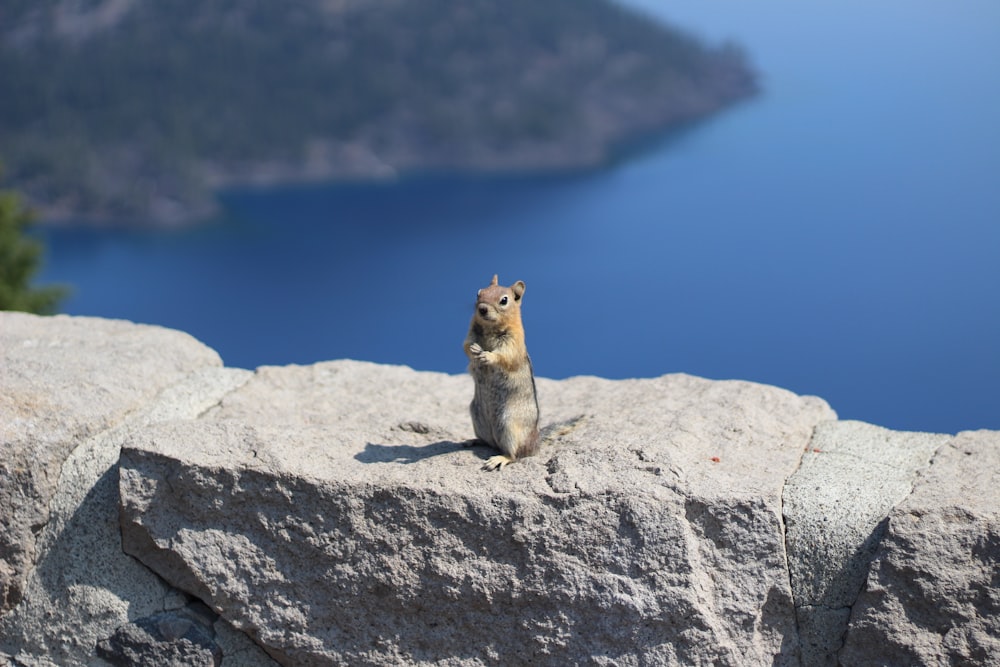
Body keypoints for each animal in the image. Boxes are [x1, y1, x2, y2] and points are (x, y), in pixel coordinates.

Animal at [462, 274, 540, 472]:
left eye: (504, 300)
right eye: (479, 292)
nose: (482, 309)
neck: (490, 327)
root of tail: (535, 445)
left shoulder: (513, 340)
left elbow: (505, 355)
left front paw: (488, 356)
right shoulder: (470, 332)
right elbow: (466, 344)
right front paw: (474, 350)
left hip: (508, 426)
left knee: (514, 455)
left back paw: (499, 459)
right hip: (476, 415)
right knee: (488, 442)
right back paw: (472, 441)